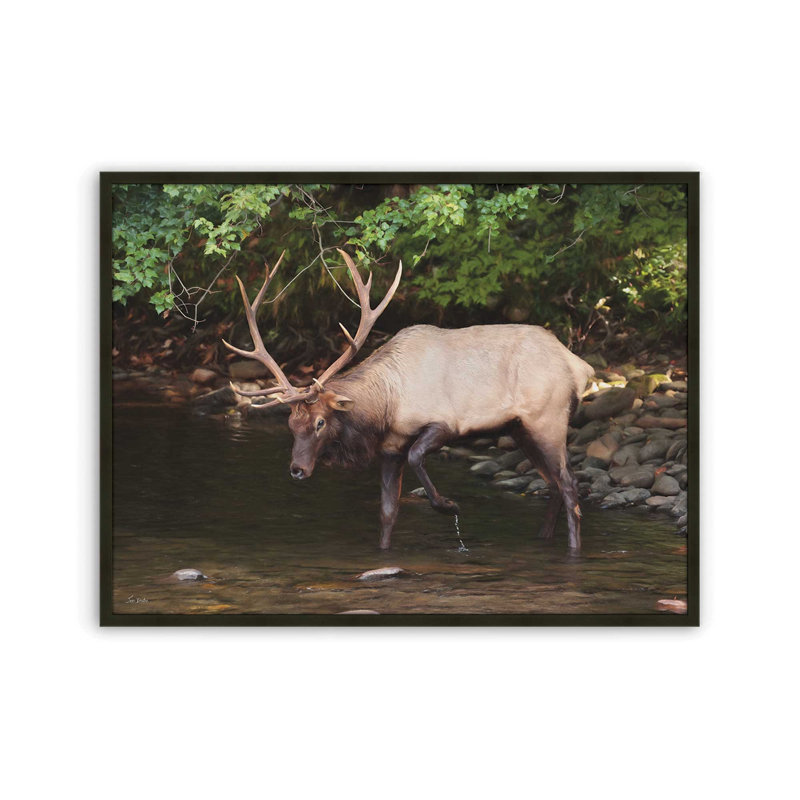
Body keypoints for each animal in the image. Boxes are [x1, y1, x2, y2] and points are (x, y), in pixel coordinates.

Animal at [223, 250, 594, 554]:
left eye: (320, 422)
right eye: (290, 424)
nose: (297, 469)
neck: (386, 407)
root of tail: (580, 366)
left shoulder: (444, 422)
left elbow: (418, 456)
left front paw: (450, 506)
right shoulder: (390, 448)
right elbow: (388, 512)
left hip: (548, 420)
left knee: (569, 484)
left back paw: (574, 550)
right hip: (520, 429)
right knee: (552, 485)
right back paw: (542, 539)